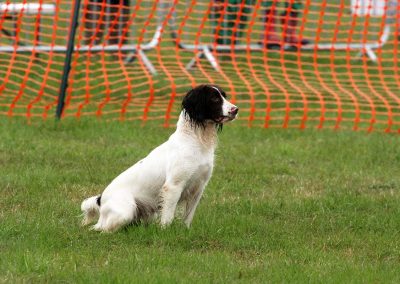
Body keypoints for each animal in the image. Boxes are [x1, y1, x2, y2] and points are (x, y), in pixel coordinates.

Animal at [79, 84, 239, 231]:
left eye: (224, 96)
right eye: (214, 98)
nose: (236, 109)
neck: (196, 141)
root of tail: (100, 199)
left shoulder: (198, 187)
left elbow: (188, 217)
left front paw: (185, 231)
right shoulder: (173, 186)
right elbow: (168, 216)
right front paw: (165, 232)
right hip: (126, 211)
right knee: (100, 229)